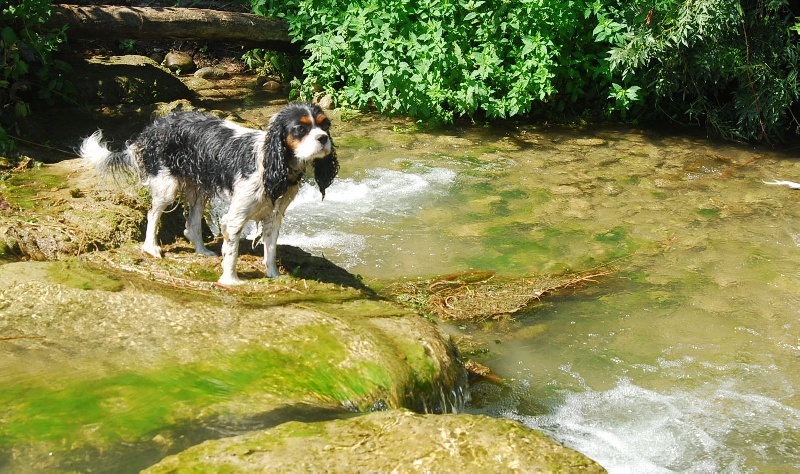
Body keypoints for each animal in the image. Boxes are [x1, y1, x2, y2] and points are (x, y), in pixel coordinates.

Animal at [83, 101, 340, 284]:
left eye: (324, 125)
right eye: (300, 129)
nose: (323, 138)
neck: (274, 162)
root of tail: (155, 127)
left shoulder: (274, 216)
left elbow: (271, 248)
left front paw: (273, 274)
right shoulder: (235, 217)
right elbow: (232, 251)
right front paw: (230, 280)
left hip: (199, 189)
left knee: (192, 224)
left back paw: (202, 250)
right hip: (167, 187)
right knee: (153, 215)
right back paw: (151, 248)